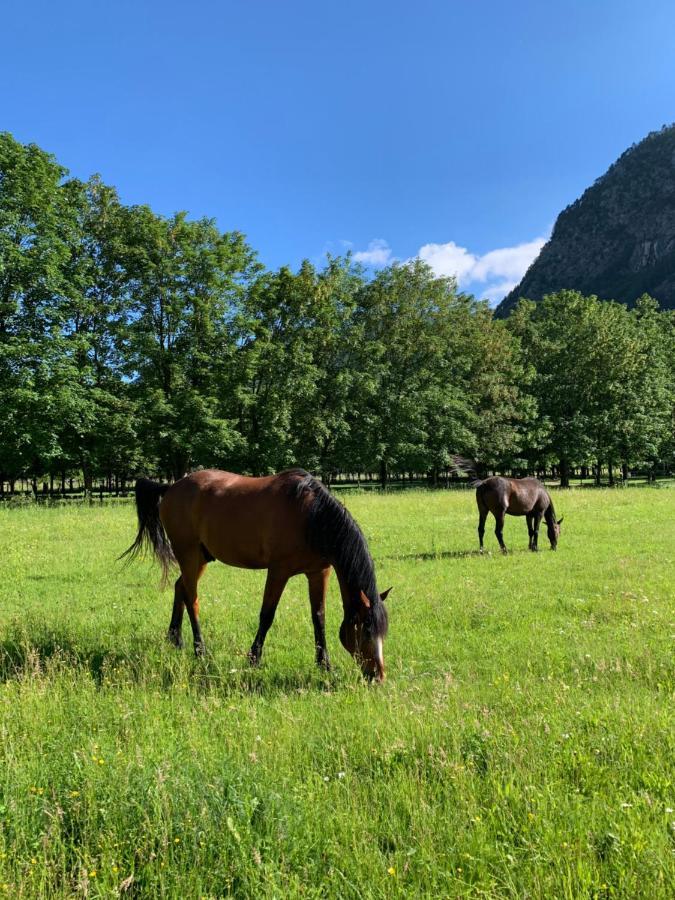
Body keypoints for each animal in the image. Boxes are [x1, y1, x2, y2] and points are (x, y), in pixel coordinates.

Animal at [121, 468, 390, 680]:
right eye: (366, 629)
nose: (378, 676)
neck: (310, 516)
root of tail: (172, 487)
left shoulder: (318, 572)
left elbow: (319, 618)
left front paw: (324, 664)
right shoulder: (278, 571)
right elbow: (267, 615)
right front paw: (253, 659)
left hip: (201, 558)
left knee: (181, 588)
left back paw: (175, 639)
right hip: (187, 553)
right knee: (192, 598)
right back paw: (200, 651)